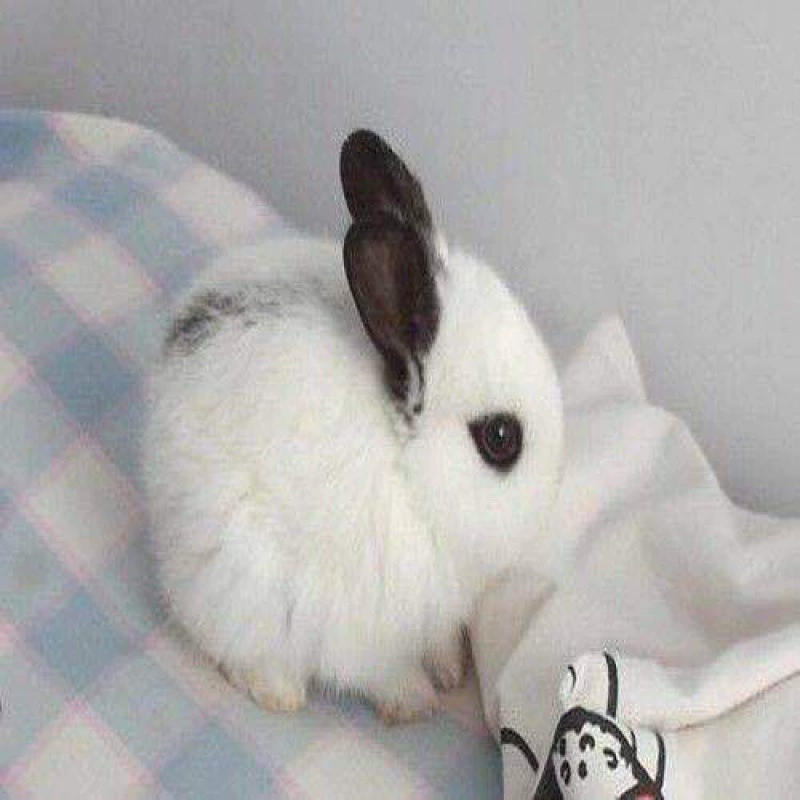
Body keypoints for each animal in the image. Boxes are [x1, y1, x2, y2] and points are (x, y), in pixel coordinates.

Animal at [143, 130, 565, 722]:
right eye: (501, 439)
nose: (556, 485)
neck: (411, 474)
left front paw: (451, 670)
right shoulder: (363, 630)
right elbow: (379, 672)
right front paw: (416, 703)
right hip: (237, 578)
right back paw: (280, 693)